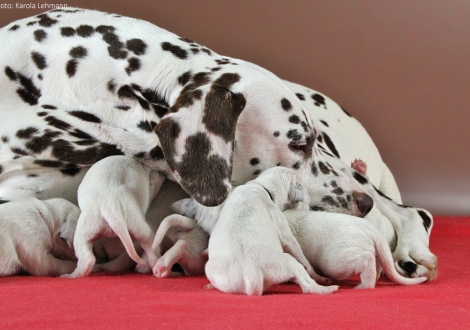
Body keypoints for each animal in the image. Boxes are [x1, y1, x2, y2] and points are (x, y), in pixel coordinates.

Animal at [173, 168, 338, 296]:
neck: (261, 186)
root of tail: (252, 274)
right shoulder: (282, 226)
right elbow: (299, 254)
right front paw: (317, 275)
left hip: (215, 271)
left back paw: (211, 285)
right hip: (288, 263)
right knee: (308, 286)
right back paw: (327, 287)